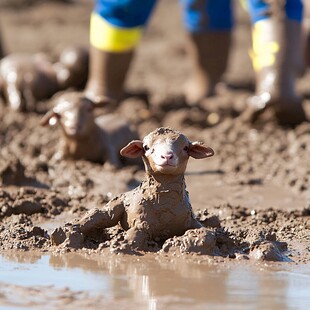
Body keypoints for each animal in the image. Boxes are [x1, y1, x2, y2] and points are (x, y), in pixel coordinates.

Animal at [50, 127, 214, 251]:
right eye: (146, 147)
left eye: (185, 148)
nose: (167, 156)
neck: (165, 204)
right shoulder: (142, 221)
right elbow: (133, 236)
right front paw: (121, 247)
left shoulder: (190, 220)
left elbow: (207, 232)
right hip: (115, 205)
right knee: (96, 215)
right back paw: (67, 232)